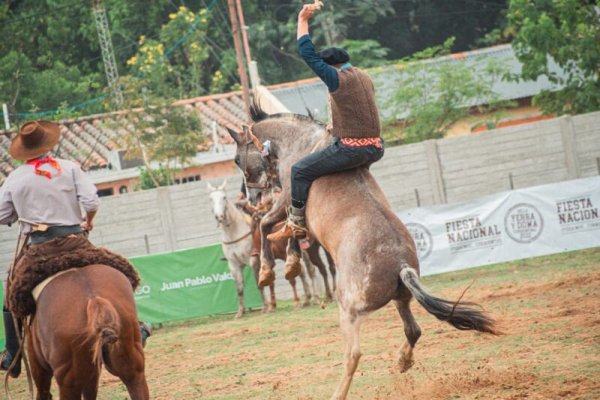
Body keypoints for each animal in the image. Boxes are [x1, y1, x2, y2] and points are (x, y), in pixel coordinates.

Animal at [227, 106, 500, 400]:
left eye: (236, 159)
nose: (251, 198)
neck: (301, 142)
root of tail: (402, 266)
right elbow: (291, 234)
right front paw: (290, 263)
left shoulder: (289, 195)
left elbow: (269, 224)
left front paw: (270, 270)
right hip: (401, 299)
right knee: (413, 331)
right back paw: (402, 361)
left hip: (348, 308)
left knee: (354, 355)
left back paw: (338, 394)